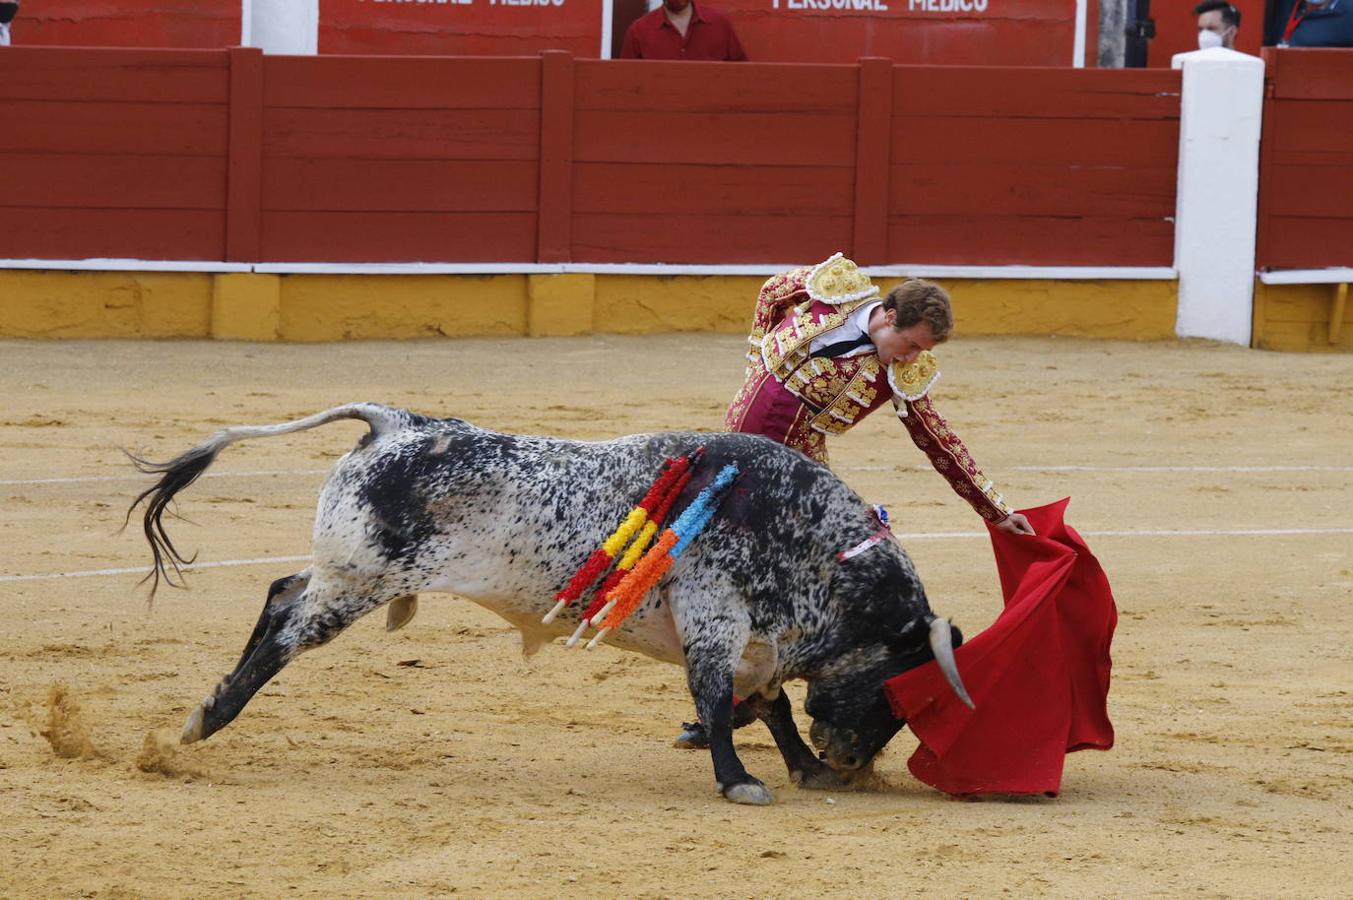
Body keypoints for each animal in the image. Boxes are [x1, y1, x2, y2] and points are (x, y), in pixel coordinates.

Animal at [129, 403, 974, 801]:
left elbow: (767, 704)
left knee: (280, 591)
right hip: (358, 582)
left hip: (348, 575)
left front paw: (802, 768)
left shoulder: (754, 638)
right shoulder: (715, 620)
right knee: (285, 627)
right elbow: (719, 700)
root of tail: (397, 423)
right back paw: (206, 717)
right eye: (899, 688)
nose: (853, 763)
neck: (813, 546)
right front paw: (740, 781)